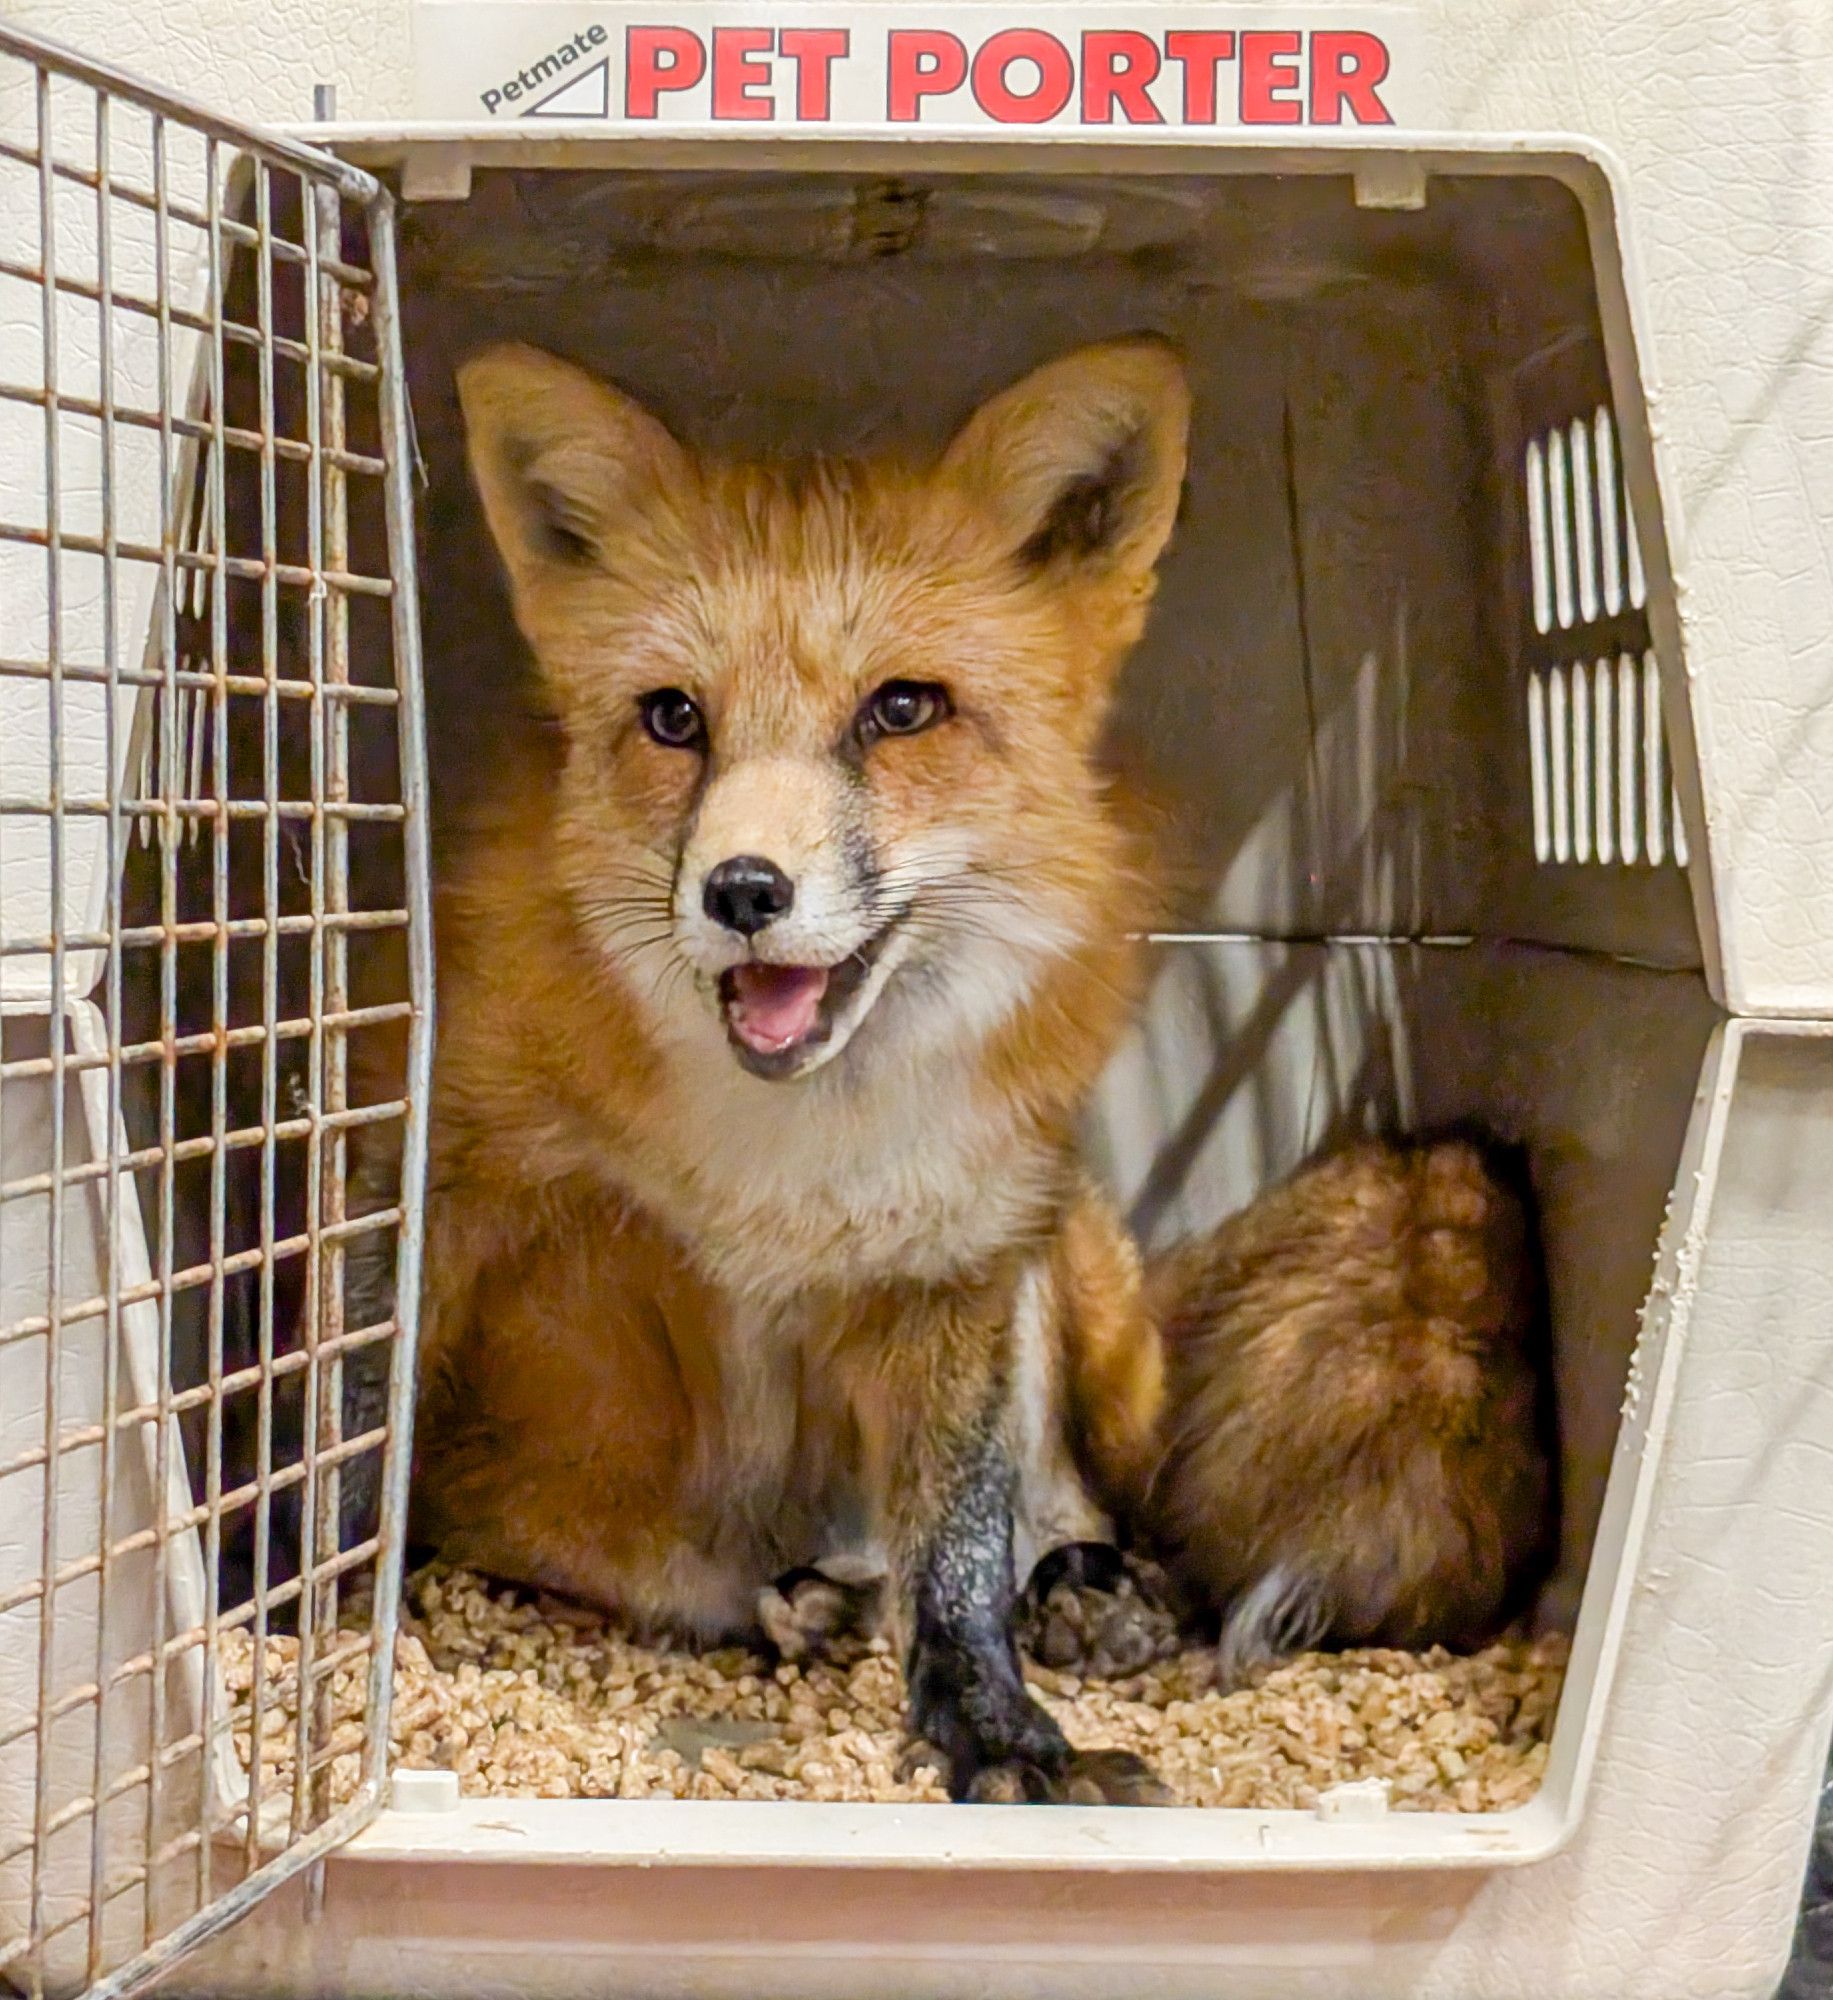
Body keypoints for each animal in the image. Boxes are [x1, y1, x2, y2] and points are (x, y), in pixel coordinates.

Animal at [384, 336, 1184, 1808]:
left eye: (903, 709)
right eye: (672, 718)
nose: (744, 890)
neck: (787, 1155)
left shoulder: (958, 1256)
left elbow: (960, 1551)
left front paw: (993, 1728)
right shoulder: (450, 1173)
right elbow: (351, 1434)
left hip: (1091, 1298)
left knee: (1076, 1506)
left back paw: (1088, 1589)